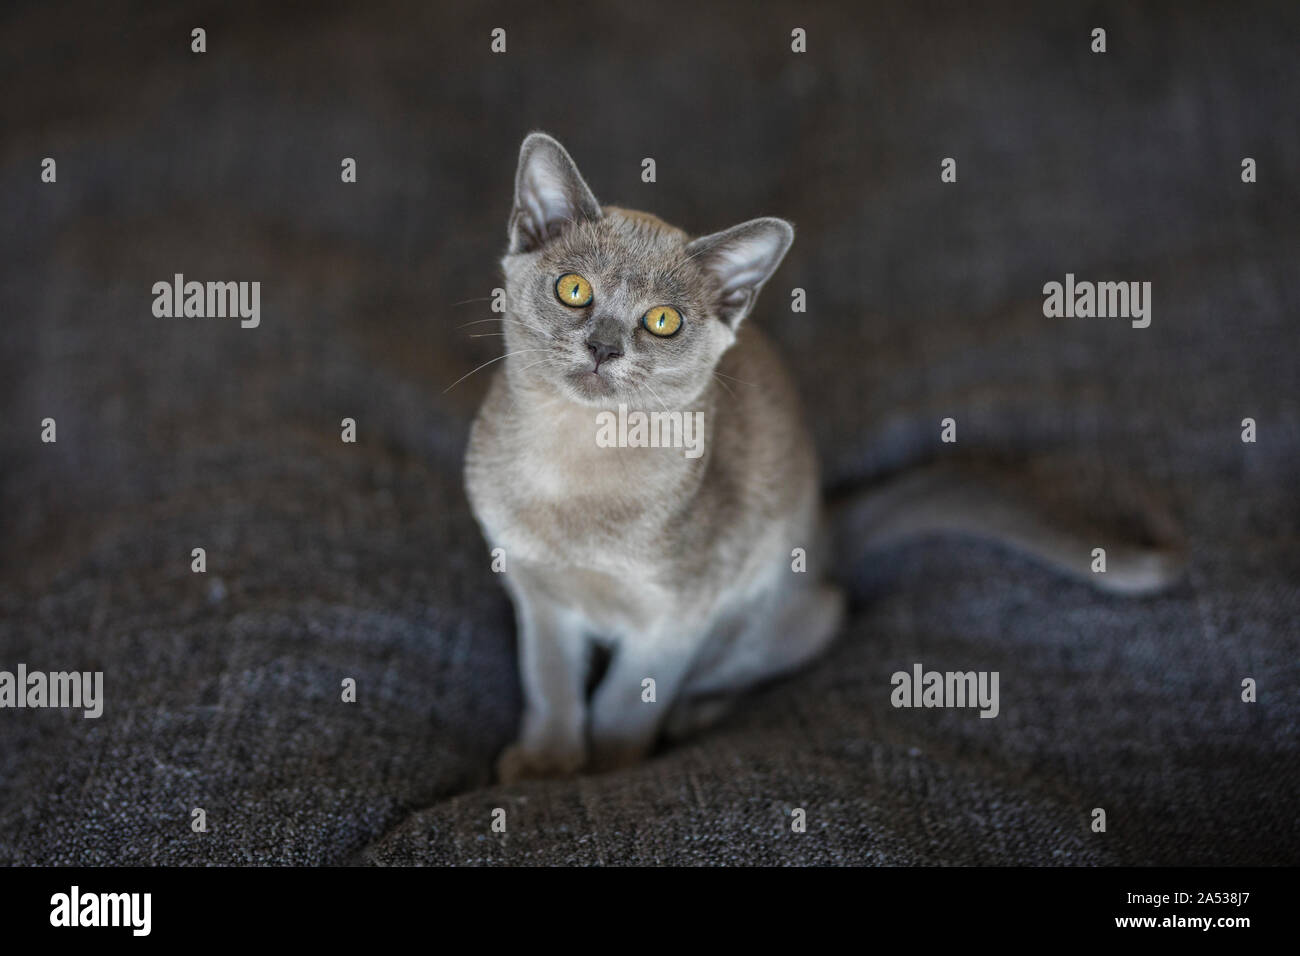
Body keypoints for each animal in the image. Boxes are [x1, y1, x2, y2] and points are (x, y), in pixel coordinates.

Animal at [467, 130, 1190, 780]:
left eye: (663, 322)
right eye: (574, 290)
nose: (605, 346)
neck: (573, 466)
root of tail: (824, 525)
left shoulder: (674, 620)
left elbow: (622, 706)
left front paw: (606, 773)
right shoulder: (536, 593)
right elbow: (550, 681)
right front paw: (544, 768)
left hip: (781, 611)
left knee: (764, 652)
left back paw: (694, 715)